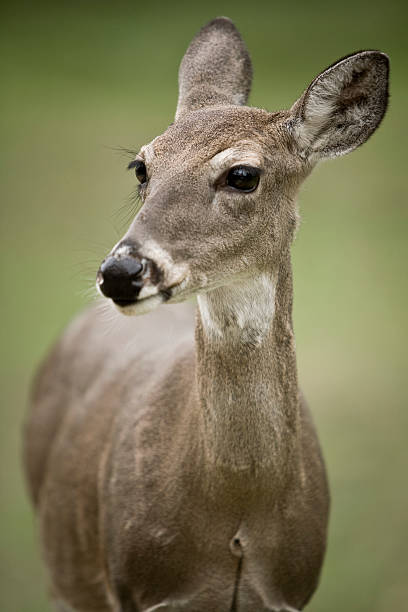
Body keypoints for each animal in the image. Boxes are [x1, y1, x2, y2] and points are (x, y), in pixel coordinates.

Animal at [23, 14, 388, 612]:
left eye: (242, 175)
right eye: (141, 167)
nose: (121, 272)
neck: (240, 508)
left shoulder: (289, 592)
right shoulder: (139, 589)